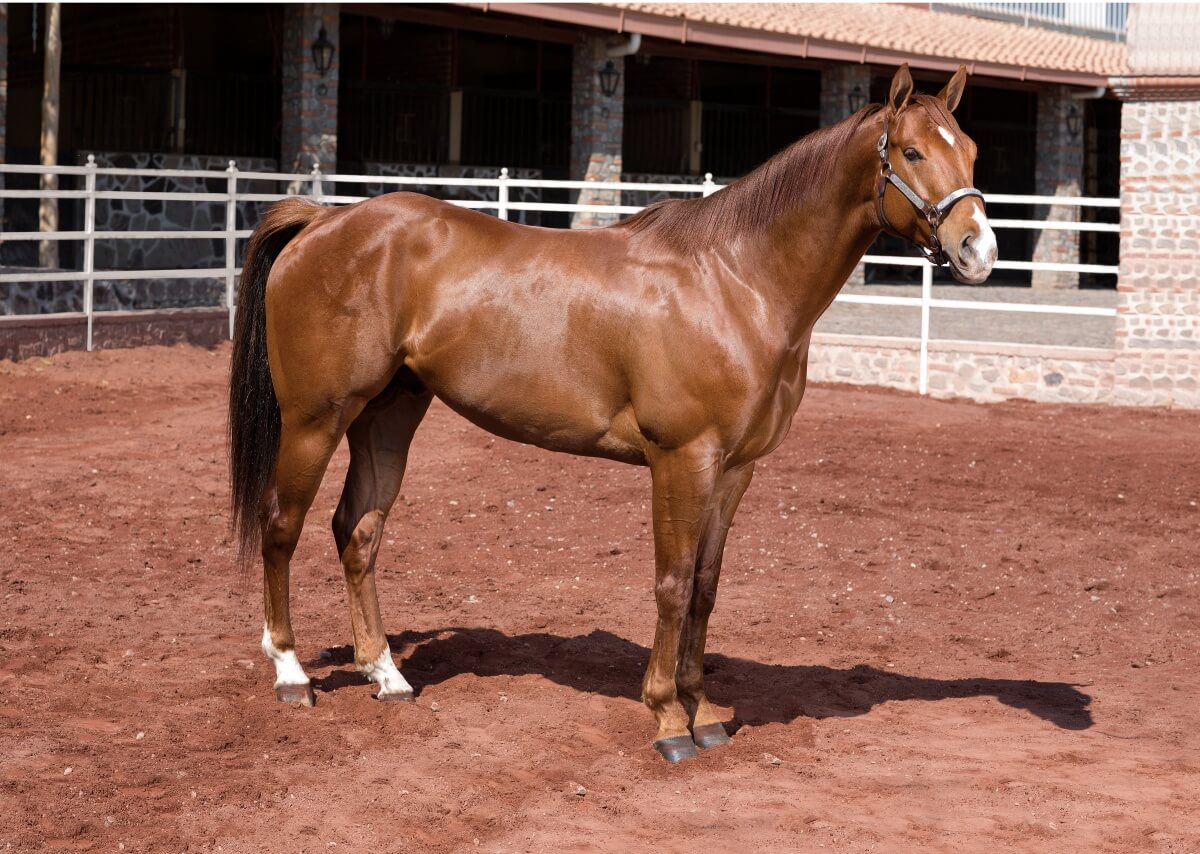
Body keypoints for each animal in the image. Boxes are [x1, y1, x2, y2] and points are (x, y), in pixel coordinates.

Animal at [228, 64, 996, 762]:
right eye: (912, 153)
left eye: (970, 150)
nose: (978, 249)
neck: (734, 281)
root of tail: (325, 221)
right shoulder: (681, 459)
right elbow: (672, 585)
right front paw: (668, 720)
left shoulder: (734, 470)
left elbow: (705, 590)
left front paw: (705, 714)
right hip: (315, 420)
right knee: (282, 526)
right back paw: (291, 673)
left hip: (388, 415)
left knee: (357, 531)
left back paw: (386, 673)